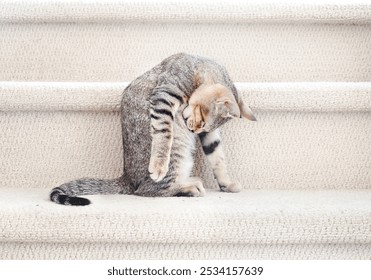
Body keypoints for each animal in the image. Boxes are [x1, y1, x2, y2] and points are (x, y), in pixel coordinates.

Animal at [50, 53, 256, 206]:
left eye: (203, 125)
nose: (193, 129)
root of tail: (128, 178)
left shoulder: (209, 135)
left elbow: (217, 157)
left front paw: (226, 183)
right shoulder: (164, 95)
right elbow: (164, 132)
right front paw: (158, 166)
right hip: (177, 151)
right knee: (147, 190)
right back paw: (188, 187)